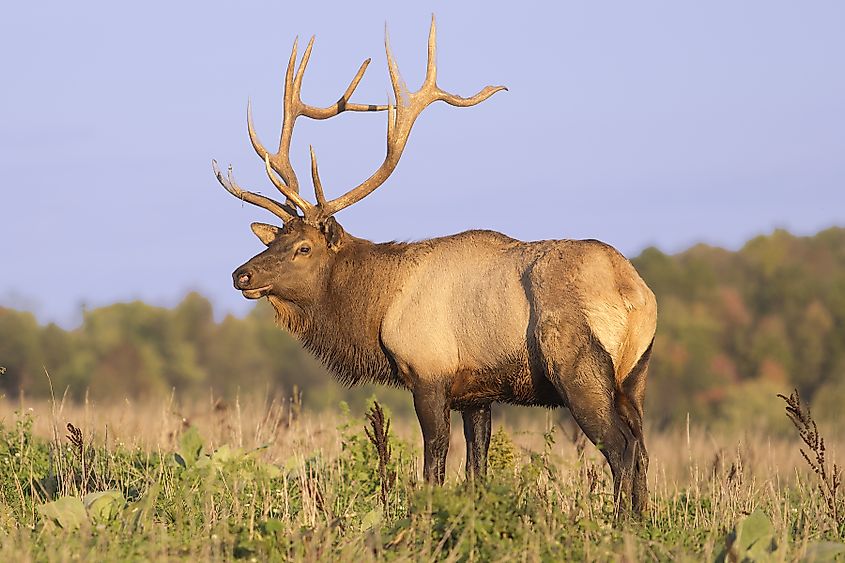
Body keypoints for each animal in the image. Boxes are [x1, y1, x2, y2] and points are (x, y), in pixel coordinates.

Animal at [212, 17, 657, 515]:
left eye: (304, 248)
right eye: (276, 238)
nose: (241, 274)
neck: (379, 308)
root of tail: (634, 293)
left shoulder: (429, 375)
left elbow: (435, 466)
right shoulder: (477, 394)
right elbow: (477, 470)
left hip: (579, 369)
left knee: (620, 448)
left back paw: (618, 523)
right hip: (635, 377)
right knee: (641, 449)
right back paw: (641, 521)